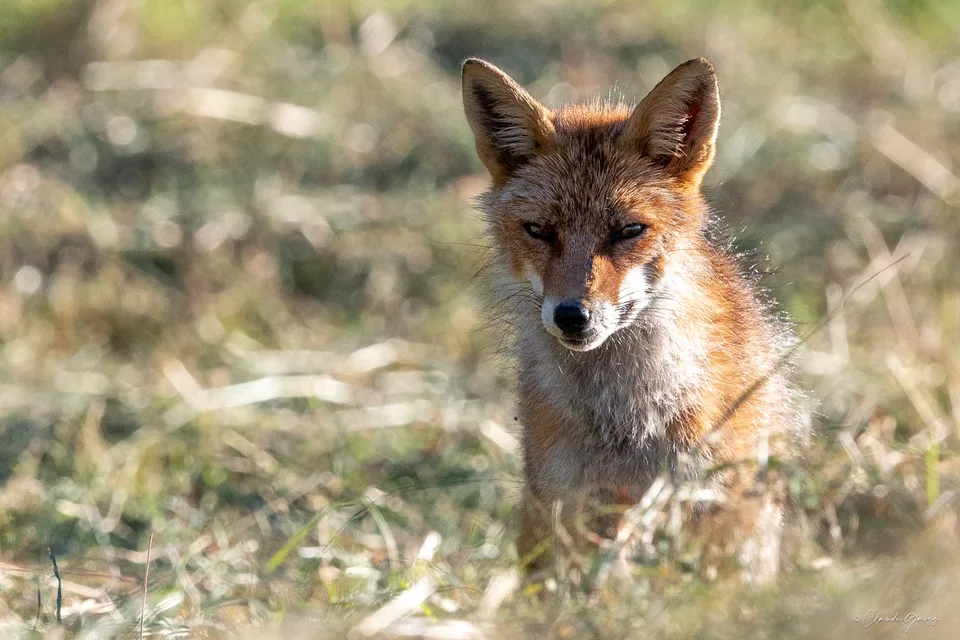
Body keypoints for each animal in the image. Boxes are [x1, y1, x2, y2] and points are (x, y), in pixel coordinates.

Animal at [461, 57, 804, 583]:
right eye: (538, 230)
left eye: (629, 230)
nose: (572, 315)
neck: (622, 417)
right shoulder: (572, 495)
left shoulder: (692, 492)